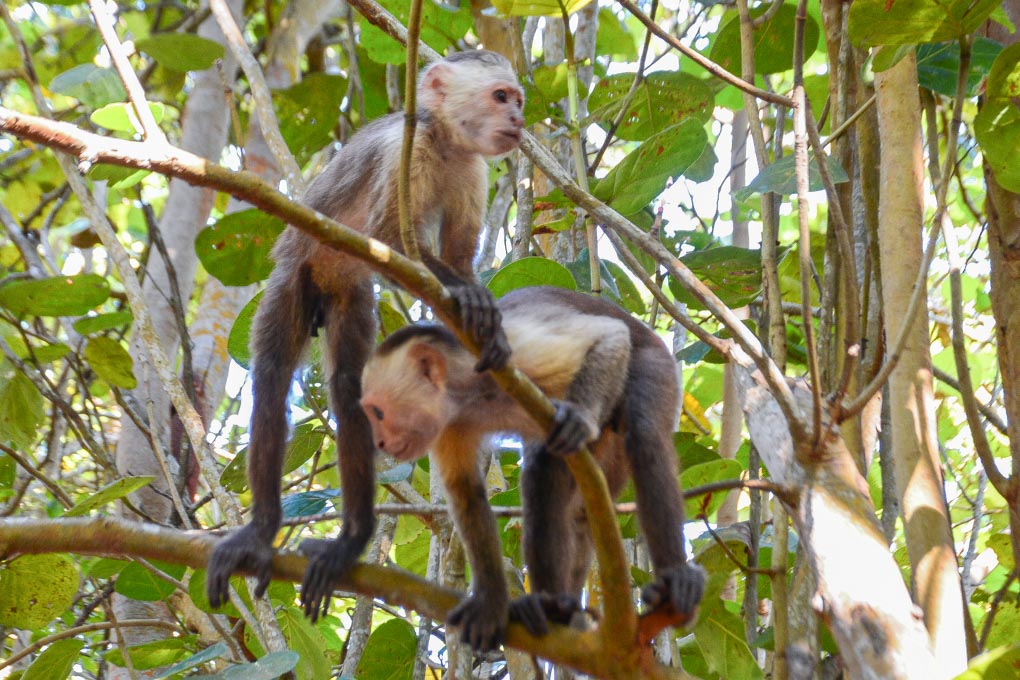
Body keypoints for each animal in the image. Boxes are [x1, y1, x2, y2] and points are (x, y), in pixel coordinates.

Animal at [206, 50, 525, 621]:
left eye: (517, 99)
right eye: (499, 96)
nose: (519, 119)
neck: (445, 140)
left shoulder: (473, 169)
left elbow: (459, 257)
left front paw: (482, 319)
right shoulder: (405, 150)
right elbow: (388, 237)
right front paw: (465, 297)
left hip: (349, 295)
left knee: (350, 389)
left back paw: (351, 541)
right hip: (295, 276)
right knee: (271, 380)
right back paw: (262, 531)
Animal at [359, 286, 706, 651]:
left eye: (379, 413)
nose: (379, 442)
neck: (469, 392)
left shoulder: (508, 351)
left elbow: (609, 336)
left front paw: (580, 416)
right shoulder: (447, 424)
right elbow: (466, 493)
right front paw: (491, 601)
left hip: (656, 364)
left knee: (644, 437)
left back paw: (675, 583)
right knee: (551, 480)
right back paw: (551, 606)